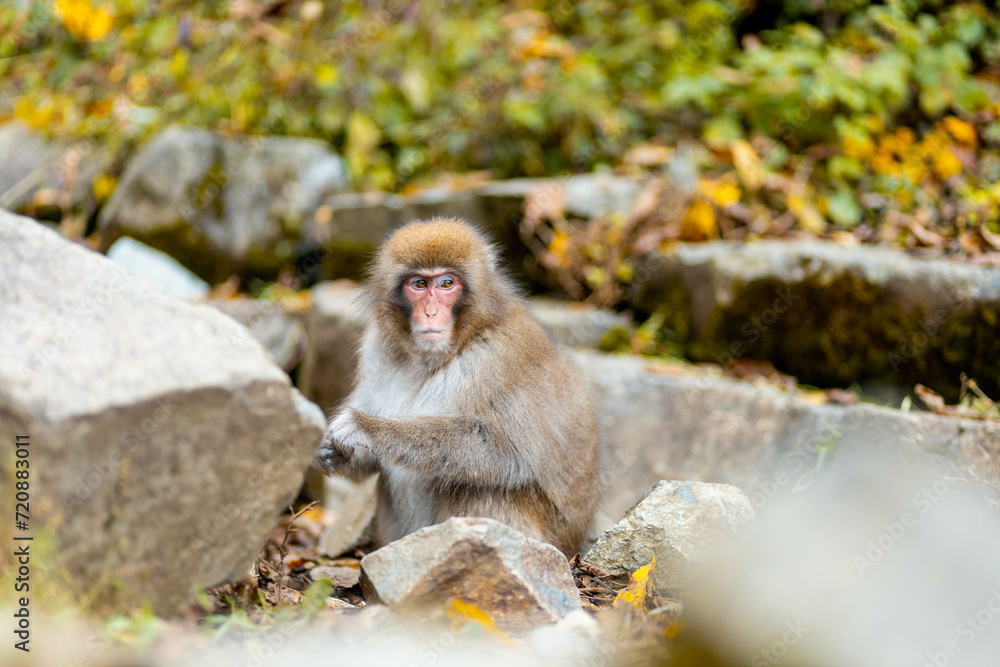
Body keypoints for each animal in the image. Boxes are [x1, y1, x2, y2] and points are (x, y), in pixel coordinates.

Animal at [313, 217, 598, 556]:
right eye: (419, 284)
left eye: (447, 284)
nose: (431, 312)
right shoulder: (376, 348)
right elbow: (369, 463)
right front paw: (327, 452)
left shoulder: (496, 357)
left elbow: (507, 455)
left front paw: (367, 428)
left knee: (482, 484)